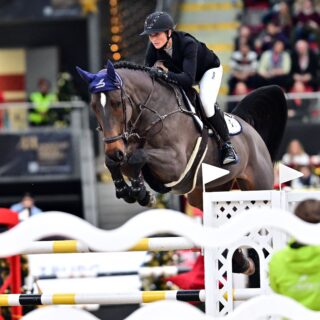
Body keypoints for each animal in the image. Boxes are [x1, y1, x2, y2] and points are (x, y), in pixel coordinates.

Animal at [77, 60, 288, 276]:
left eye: (116, 103)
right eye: (94, 107)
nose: (113, 151)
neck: (152, 114)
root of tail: (251, 131)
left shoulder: (175, 163)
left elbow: (138, 157)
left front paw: (141, 193)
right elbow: (119, 163)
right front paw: (131, 191)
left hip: (258, 187)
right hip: (207, 191)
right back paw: (243, 264)